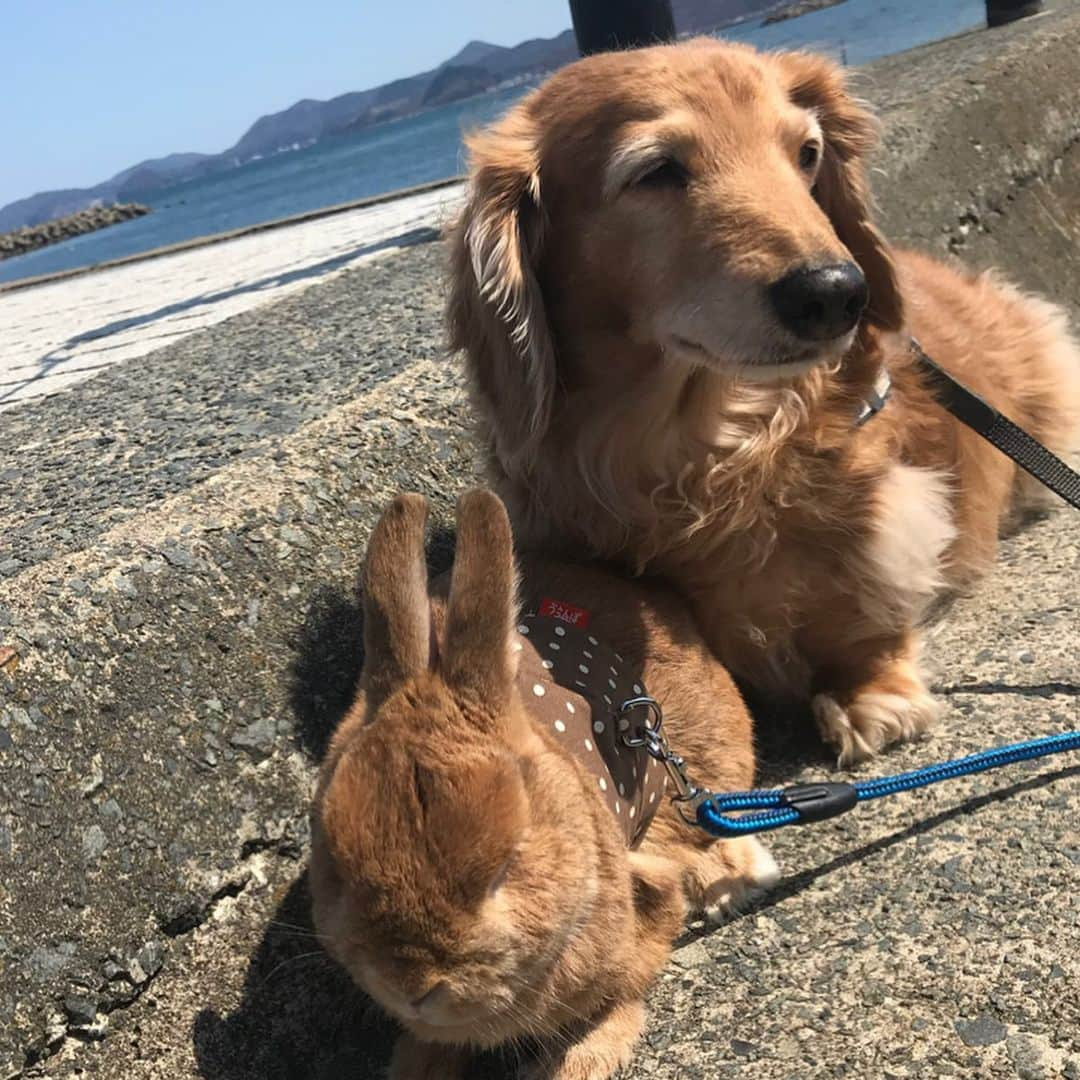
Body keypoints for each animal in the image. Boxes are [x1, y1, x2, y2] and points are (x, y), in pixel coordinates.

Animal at [308, 492, 781, 1080]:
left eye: (506, 866)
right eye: (337, 864)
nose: (412, 984)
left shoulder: (639, 924)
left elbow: (615, 1006)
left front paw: (577, 1061)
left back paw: (739, 881)